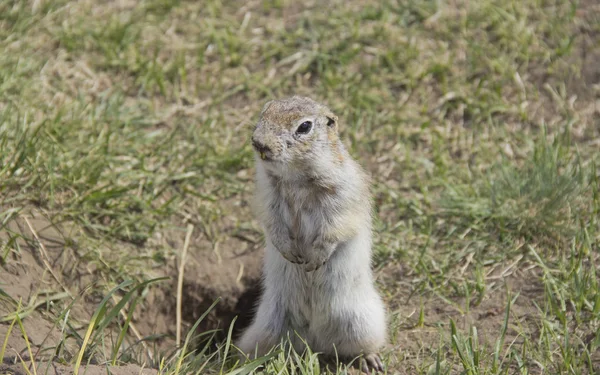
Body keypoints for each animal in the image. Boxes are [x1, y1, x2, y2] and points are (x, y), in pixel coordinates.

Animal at [237, 96, 386, 374]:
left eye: (304, 126)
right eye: (265, 110)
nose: (259, 143)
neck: (296, 178)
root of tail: (315, 341)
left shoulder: (344, 193)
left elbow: (337, 226)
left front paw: (314, 260)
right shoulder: (267, 193)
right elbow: (271, 221)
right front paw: (289, 251)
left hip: (363, 322)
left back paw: (370, 360)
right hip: (266, 329)